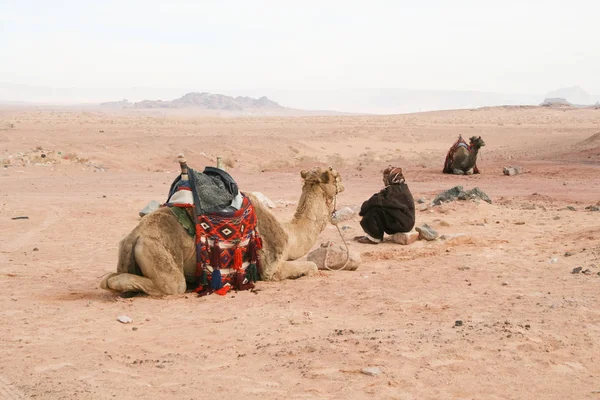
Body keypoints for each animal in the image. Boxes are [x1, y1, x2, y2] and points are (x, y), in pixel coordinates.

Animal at [98, 166, 342, 296]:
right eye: (335, 175)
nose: (343, 184)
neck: (289, 233)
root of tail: (133, 237)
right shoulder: (271, 268)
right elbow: (311, 266)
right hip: (155, 250)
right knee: (173, 285)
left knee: (109, 278)